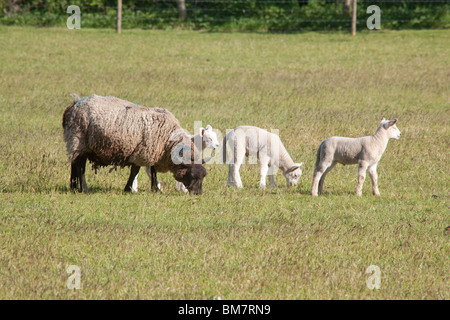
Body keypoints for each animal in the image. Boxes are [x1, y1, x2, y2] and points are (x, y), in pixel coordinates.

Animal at [62, 94, 208, 195]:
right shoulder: (141, 152)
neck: (168, 142)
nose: (198, 194)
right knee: (80, 167)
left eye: (203, 176)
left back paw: (74, 187)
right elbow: (135, 171)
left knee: (74, 164)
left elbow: (153, 171)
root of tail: (74, 105)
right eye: (193, 176)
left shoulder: (152, 152)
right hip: (79, 140)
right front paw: (128, 189)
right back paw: (83, 188)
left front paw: (155, 189)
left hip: (78, 144)